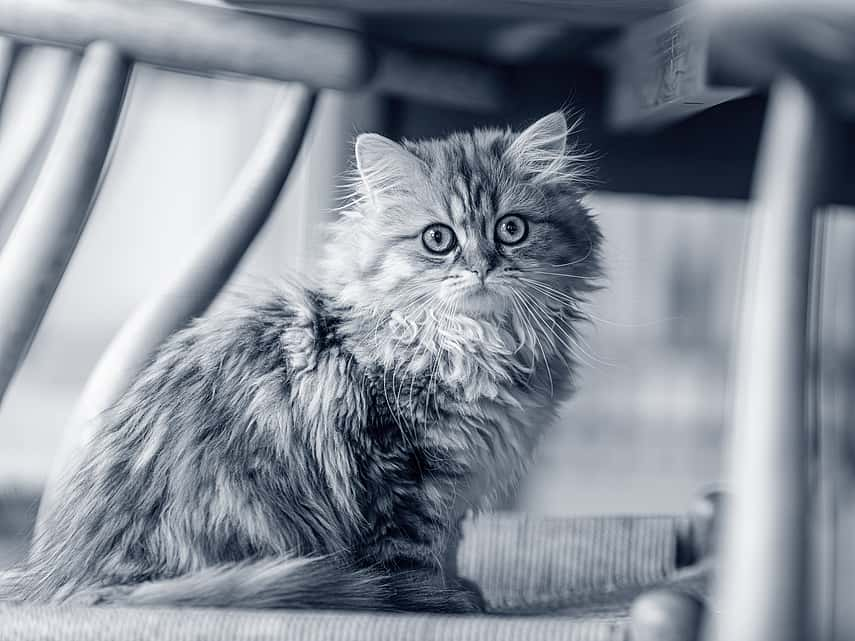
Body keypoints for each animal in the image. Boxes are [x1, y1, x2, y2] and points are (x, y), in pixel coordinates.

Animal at [0, 110, 600, 608]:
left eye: (511, 229)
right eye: (438, 239)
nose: (481, 267)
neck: (475, 343)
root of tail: (60, 579)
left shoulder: (461, 479)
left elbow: (448, 545)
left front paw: (462, 589)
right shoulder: (405, 471)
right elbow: (413, 553)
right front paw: (439, 600)